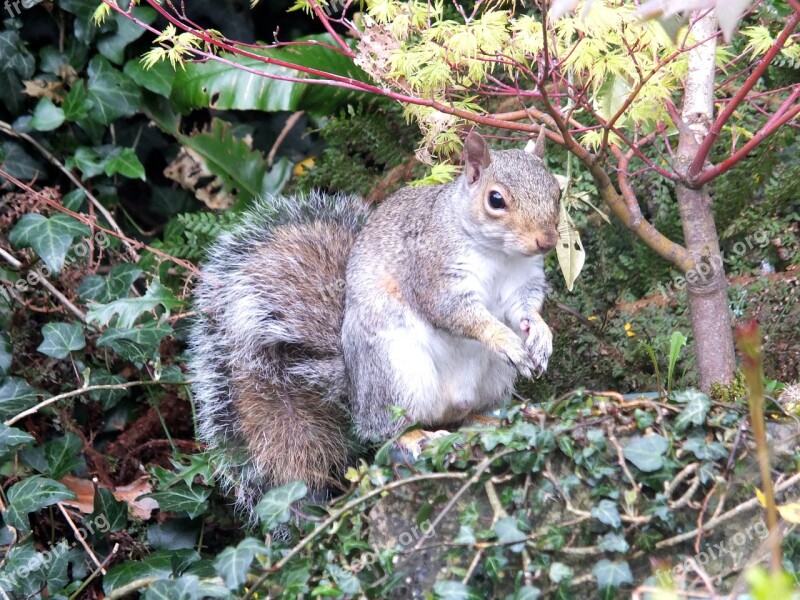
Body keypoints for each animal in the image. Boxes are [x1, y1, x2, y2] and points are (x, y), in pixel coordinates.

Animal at [190, 131, 560, 516]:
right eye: (496, 200)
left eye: (557, 192)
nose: (547, 240)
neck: (501, 255)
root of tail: (356, 394)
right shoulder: (433, 271)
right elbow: (456, 313)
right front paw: (504, 339)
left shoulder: (523, 283)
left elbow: (525, 310)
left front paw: (540, 334)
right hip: (397, 374)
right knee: (388, 433)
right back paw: (416, 438)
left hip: (490, 381)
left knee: (465, 417)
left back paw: (495, 420)